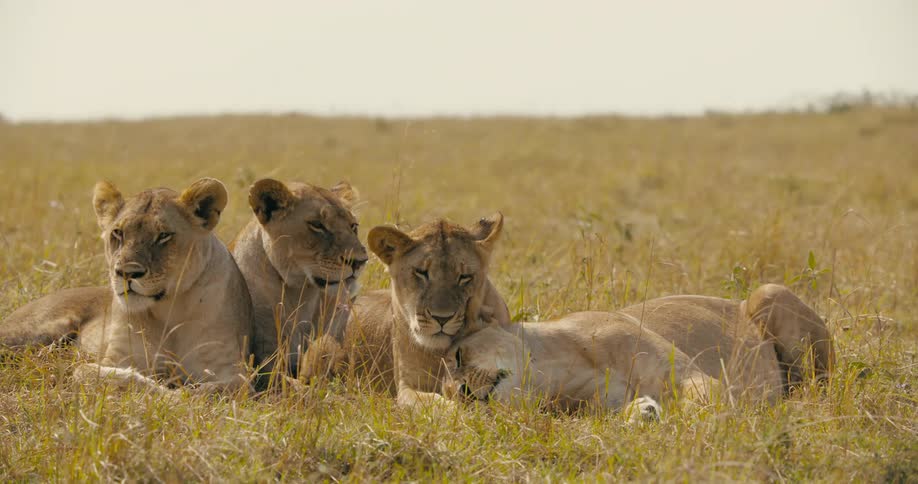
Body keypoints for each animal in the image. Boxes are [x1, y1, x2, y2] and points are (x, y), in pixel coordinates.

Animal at [0, 178, 254, 393]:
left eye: (164, 235)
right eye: (118, 232)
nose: (126, 273)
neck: (168, 308)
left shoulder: (233, 372)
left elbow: (210, 391)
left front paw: (179, 393)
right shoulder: (117, 358)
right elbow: (88, 372)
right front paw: (162, 390)